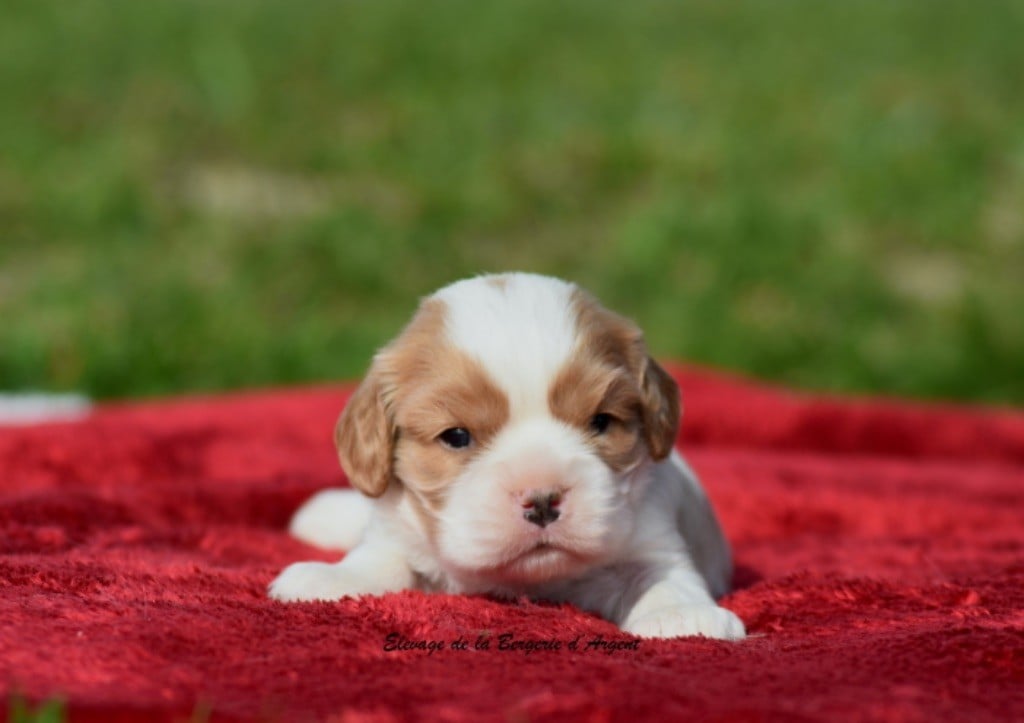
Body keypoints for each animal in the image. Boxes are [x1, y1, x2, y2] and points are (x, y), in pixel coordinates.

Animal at [272, 272, 745, 639]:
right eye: (456, 436)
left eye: (601, 422)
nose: (542, 500)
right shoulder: (395, 532)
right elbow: (379, 561)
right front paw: (331, 577)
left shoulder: (654, 536)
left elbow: (664, 578)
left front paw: (680, 615)